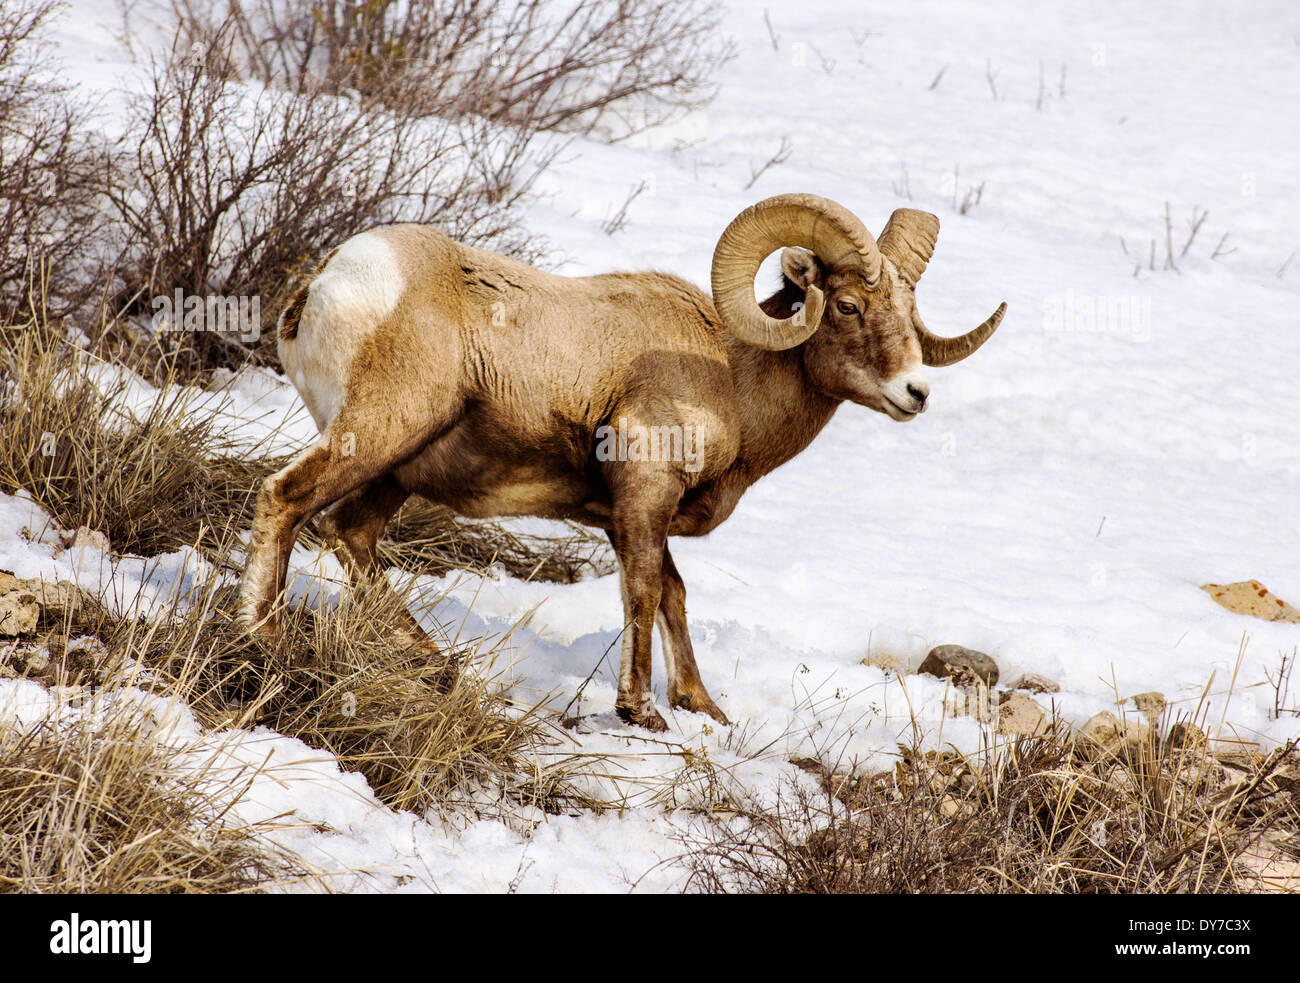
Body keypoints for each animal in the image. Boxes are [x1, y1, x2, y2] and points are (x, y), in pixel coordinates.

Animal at [239, 193, 1006, 732]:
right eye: (846, 305)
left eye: (908, 311)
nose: (915, 393)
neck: (733, 376)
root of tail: (326, 286)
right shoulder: (643, 494)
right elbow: (641, 589)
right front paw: (641, 710)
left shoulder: (630, 515)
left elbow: (672, 592)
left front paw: (701, 705)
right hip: (377, 435)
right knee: (285, 499)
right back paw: (264, 636)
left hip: (395, 472)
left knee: (351, 534)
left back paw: (438, 666)